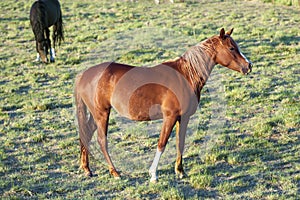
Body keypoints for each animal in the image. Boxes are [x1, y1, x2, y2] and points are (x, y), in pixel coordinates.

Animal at [74, 28, 252, 183]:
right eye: (231, 48)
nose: (249, 66)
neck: (185, 75)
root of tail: (84, 74)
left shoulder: (183, 118)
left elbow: (180, 142)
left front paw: (180, 171)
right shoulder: (170, 117)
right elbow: (162, 143)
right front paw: (153, 174)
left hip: (96, 114)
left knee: (86, 133)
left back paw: (87, 169)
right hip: (102, 113)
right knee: (101, 140)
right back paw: (115, 172)